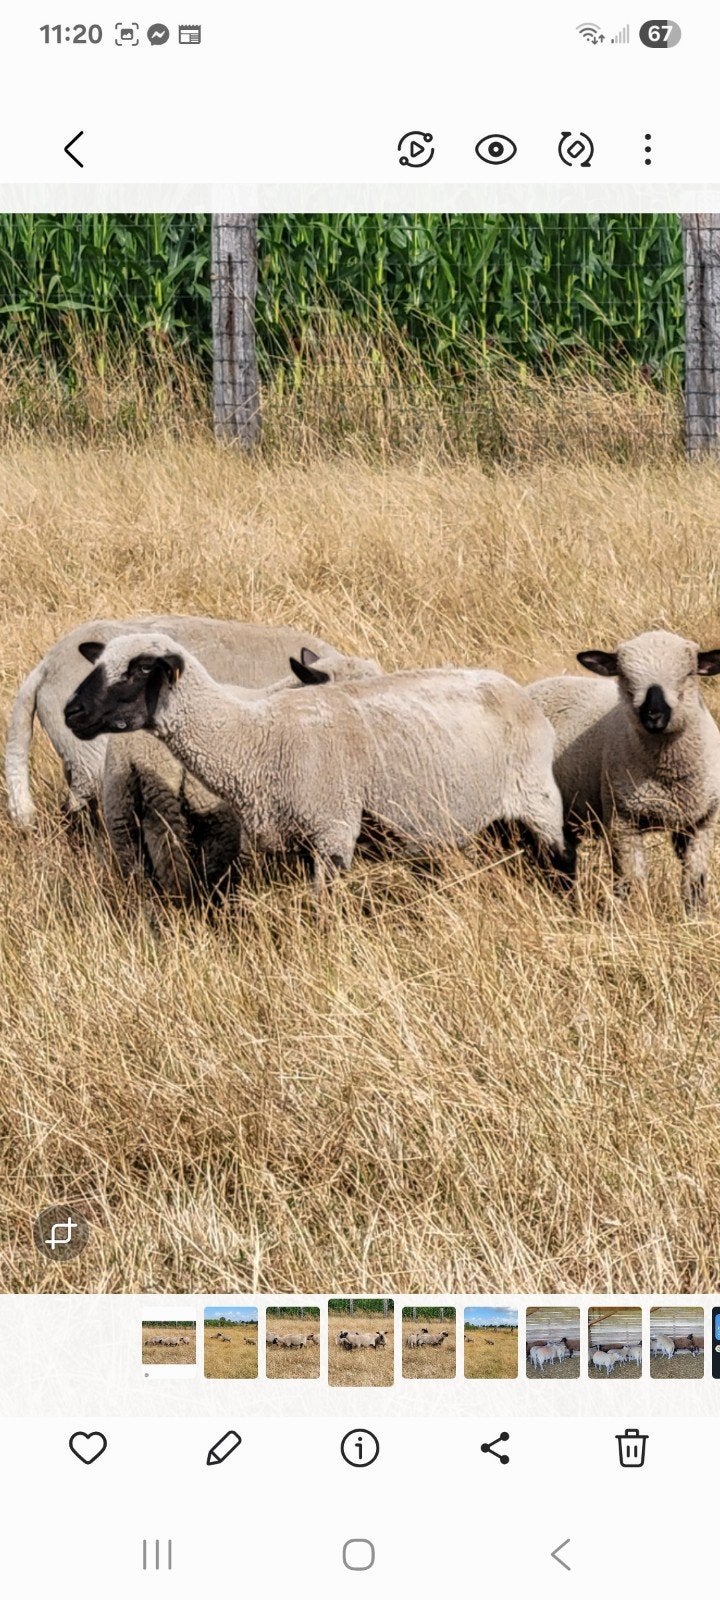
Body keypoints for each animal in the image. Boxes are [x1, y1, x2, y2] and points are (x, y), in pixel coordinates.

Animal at [64, 635, 571, 894]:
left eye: (140, 669)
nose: (72, 712)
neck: (255, 735)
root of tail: (512, 687)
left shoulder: (332, 832)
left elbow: (324, 910)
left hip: (537, 796)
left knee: (561, 858)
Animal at [529, 629, 720, 909]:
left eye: (688, 674)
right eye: (625, 677)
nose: (653, 715)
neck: (667, 776)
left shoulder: (701, 821)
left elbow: (695, 884)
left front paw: (695, 915)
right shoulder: (622, 820)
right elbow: (632, 883)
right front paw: (634, 914)